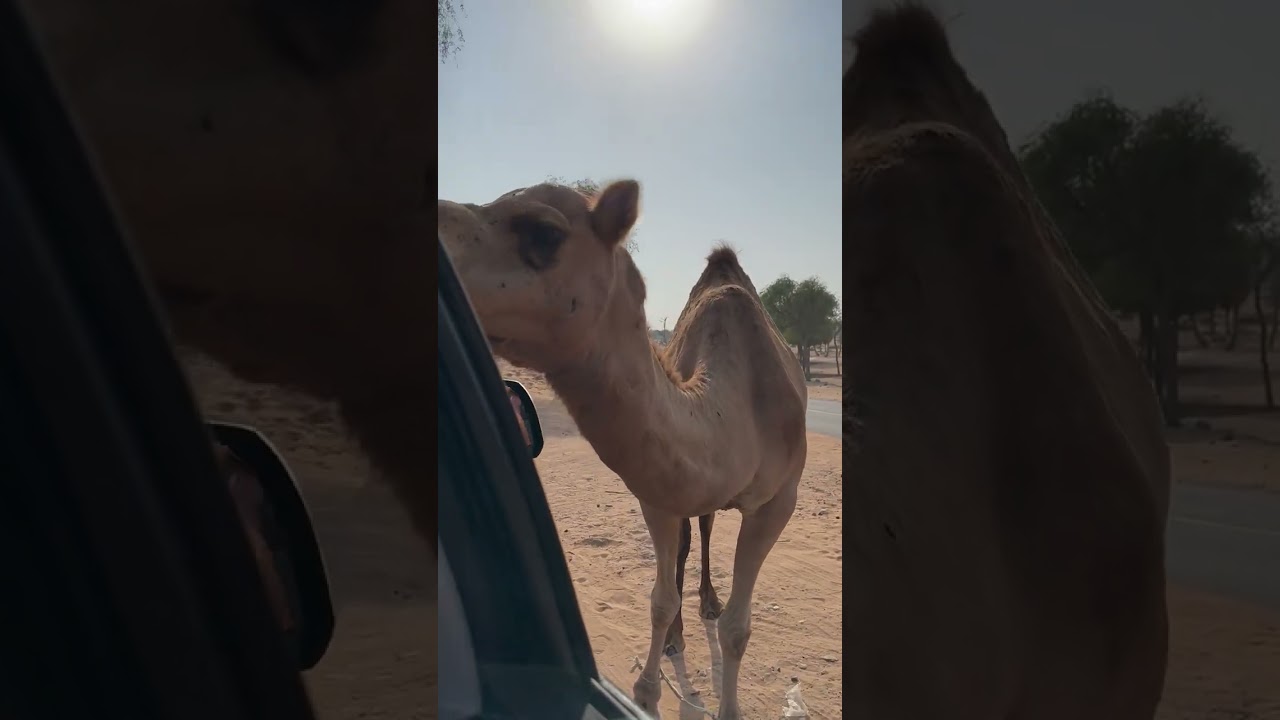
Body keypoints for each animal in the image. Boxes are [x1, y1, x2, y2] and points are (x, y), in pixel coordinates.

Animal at [439, 182, 808, 719]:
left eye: (544, 232)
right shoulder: (657, 493)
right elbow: (660, 600)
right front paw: (649, 690)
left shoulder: (779, 501)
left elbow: (737, 629)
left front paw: (726, 703)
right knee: (693, 536)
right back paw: (681, 632)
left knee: (706, 532)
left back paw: (709, 603)